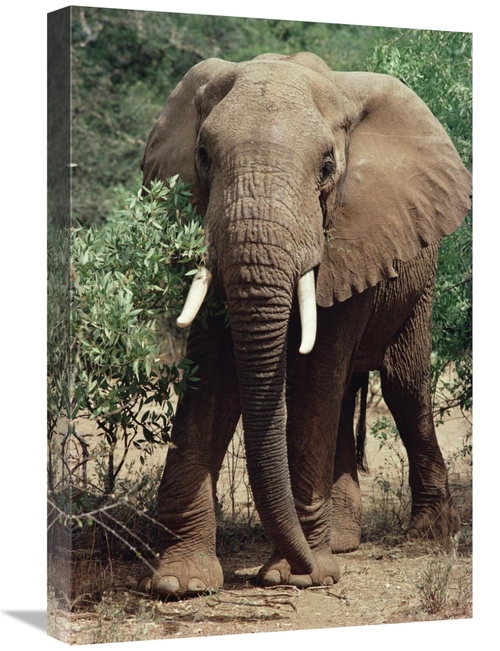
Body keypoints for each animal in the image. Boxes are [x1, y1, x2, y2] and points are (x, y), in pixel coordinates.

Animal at [137, 52, 471, 598]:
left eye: (328, 168)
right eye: (203, 155)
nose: (307, 569)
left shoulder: (354, 235)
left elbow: (316, 377)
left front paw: (296, 576)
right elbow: (214, 376)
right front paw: (179, 583)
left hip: (420, 276)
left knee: (401, 386)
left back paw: (426, 535)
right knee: (346, 395)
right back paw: (341, 543)